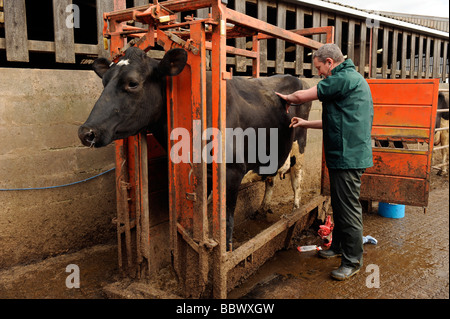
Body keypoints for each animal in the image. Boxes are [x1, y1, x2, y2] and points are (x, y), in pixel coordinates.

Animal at [79, 48, 312, 252]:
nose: (86, 132)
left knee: (297, 178)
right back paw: (263, 208)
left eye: (133, 83)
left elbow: (226, 218)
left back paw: (296, 212)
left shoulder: (232, 171)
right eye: (104, 81)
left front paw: (226, 250)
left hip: (300, 143)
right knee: (271, 178)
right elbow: (204, 211)